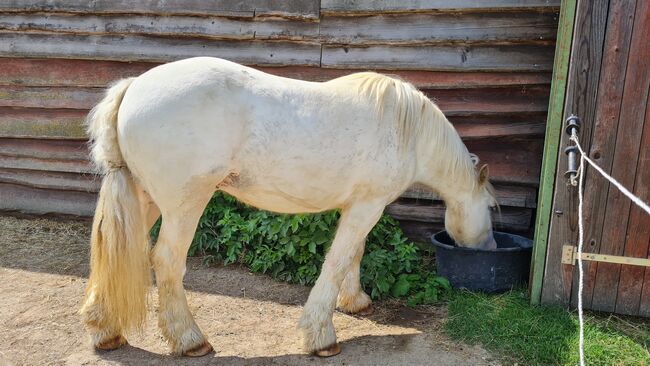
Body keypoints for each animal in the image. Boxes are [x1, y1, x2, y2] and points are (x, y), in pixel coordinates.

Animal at [81, 57, 496, 358]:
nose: (490, 249)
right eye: (492, 207)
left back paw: (105, 330)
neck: (406, 130)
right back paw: (190, 340)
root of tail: (134, 87)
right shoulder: (368, 206)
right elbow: (338, 261)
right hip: (186, 204)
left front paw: (355, 302)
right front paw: (322, 337)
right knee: (167, 261)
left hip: (145, 200)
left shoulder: (359, 207)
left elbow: (354, 254)